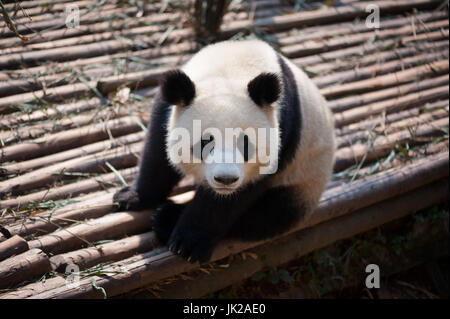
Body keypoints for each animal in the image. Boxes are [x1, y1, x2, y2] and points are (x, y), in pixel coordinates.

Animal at [114, 39, 336, 264]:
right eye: (205, 142)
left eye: (245, 144)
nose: (225, 179)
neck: (231, 70)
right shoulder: (168, 107)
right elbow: (157, 153)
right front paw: (130, 197)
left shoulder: (283, 130)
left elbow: (230, 201)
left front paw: (188, 243)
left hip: (303, 181)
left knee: (269, 215)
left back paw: (166, 218)